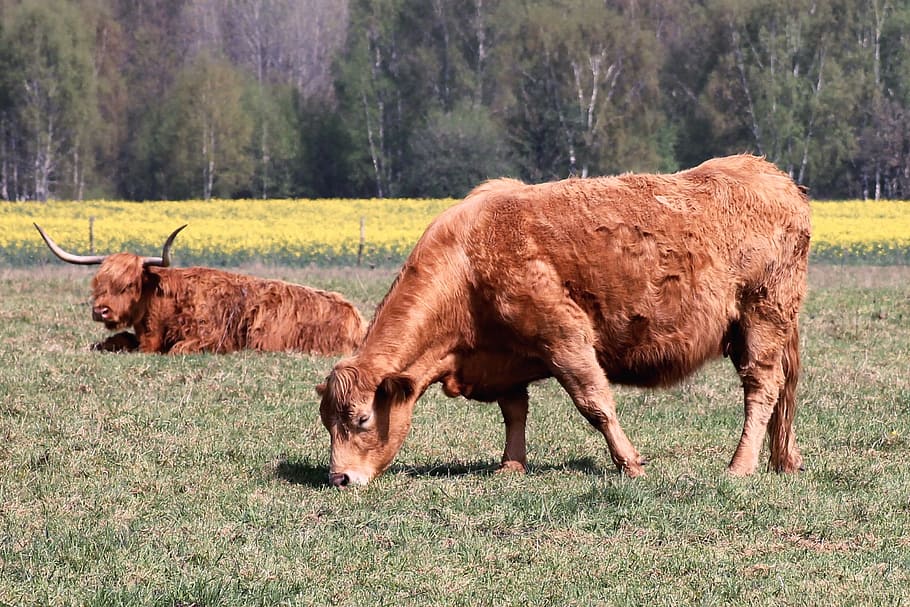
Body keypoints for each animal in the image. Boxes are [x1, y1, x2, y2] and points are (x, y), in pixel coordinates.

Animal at [35, 224, 366, 355]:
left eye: (129, 284)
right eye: (97, 283)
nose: (100, 310)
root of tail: (356, 317)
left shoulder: (208, 338)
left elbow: (176, 350)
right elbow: (109, 342)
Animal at [318, 155, 811, 487]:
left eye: (362, 418)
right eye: (327, 422)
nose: (339, 478)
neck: (468, 259)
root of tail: (768, 173)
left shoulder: (565, 337)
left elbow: (596, 404)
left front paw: (630, 464)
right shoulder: (506, 356)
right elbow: (514, 410)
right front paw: (510, 466)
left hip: (762, 318)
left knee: (762, 389)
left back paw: (739, 466)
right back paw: (782, 461)